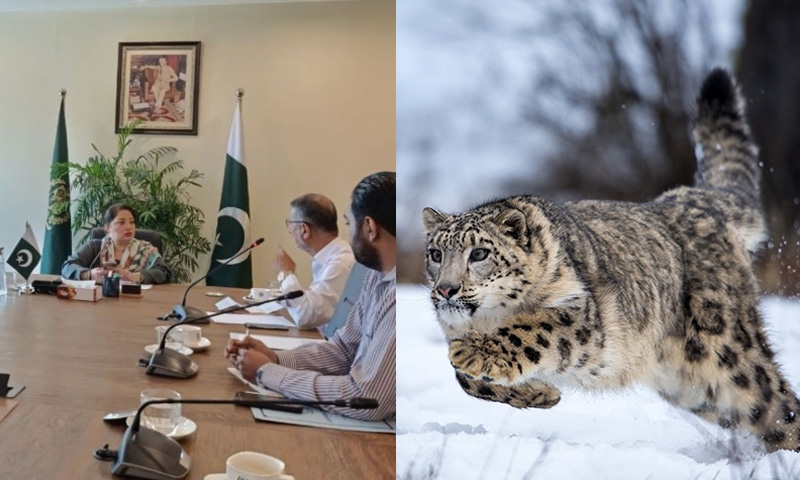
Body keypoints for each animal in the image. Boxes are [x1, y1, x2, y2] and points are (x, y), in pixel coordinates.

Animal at [421, 68, 800, 452]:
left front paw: (474, 354)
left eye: (479, 253)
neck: (485, 320)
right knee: (766, 415)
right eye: (436, 254)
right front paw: (540, 393)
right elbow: (463, 379)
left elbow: (529, 330)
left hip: (728, 352)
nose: (447, 290)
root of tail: (691, 197)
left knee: (778, 402)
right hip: (698, 387)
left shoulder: (581, 316)